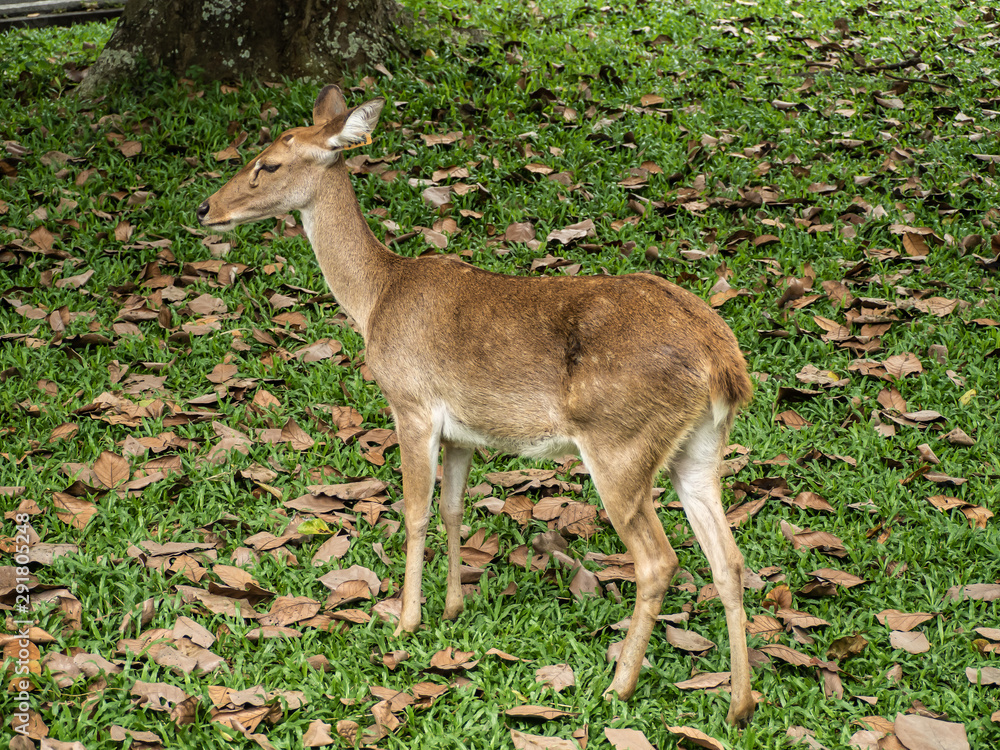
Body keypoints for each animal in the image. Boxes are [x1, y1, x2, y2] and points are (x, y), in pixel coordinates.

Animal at [197, 84, 756, 726]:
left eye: (269, 164)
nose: (205, 208)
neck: (376, 298)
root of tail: (723, 362)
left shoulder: (411, 404)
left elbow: (414, 511)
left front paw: (405, 622)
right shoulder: (463, 432)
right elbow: (452, 509)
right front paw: (451, 609)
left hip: (620, 444)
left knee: (660, 560)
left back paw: (619, 686)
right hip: (701, 447)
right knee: (728, 559)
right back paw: (739, 705)